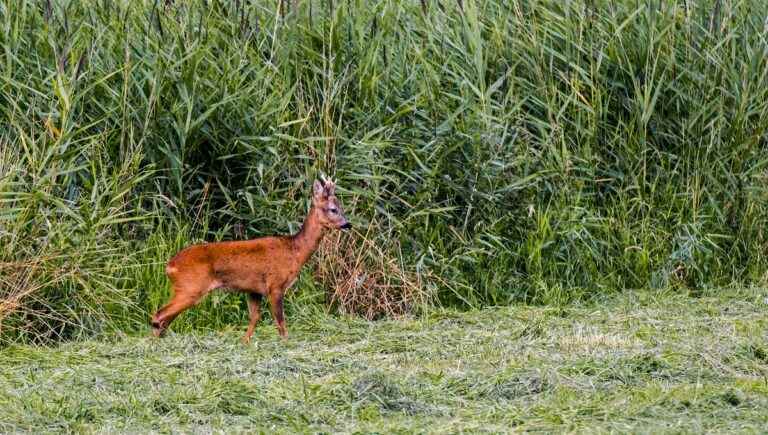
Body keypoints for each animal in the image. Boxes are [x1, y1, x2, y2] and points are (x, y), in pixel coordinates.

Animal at [149, 177, 352, 344]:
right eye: (333, 209)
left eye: (341, 207)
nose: (347, 224)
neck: (295, 251)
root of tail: (170, 266)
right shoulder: (275, 285)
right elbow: (280, 322)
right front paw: (287, 345)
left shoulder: (254, 290)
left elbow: (255, 318)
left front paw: (244, 342)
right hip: (190, 288)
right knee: (159, 315)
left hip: (185, 289)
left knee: (164, 319)